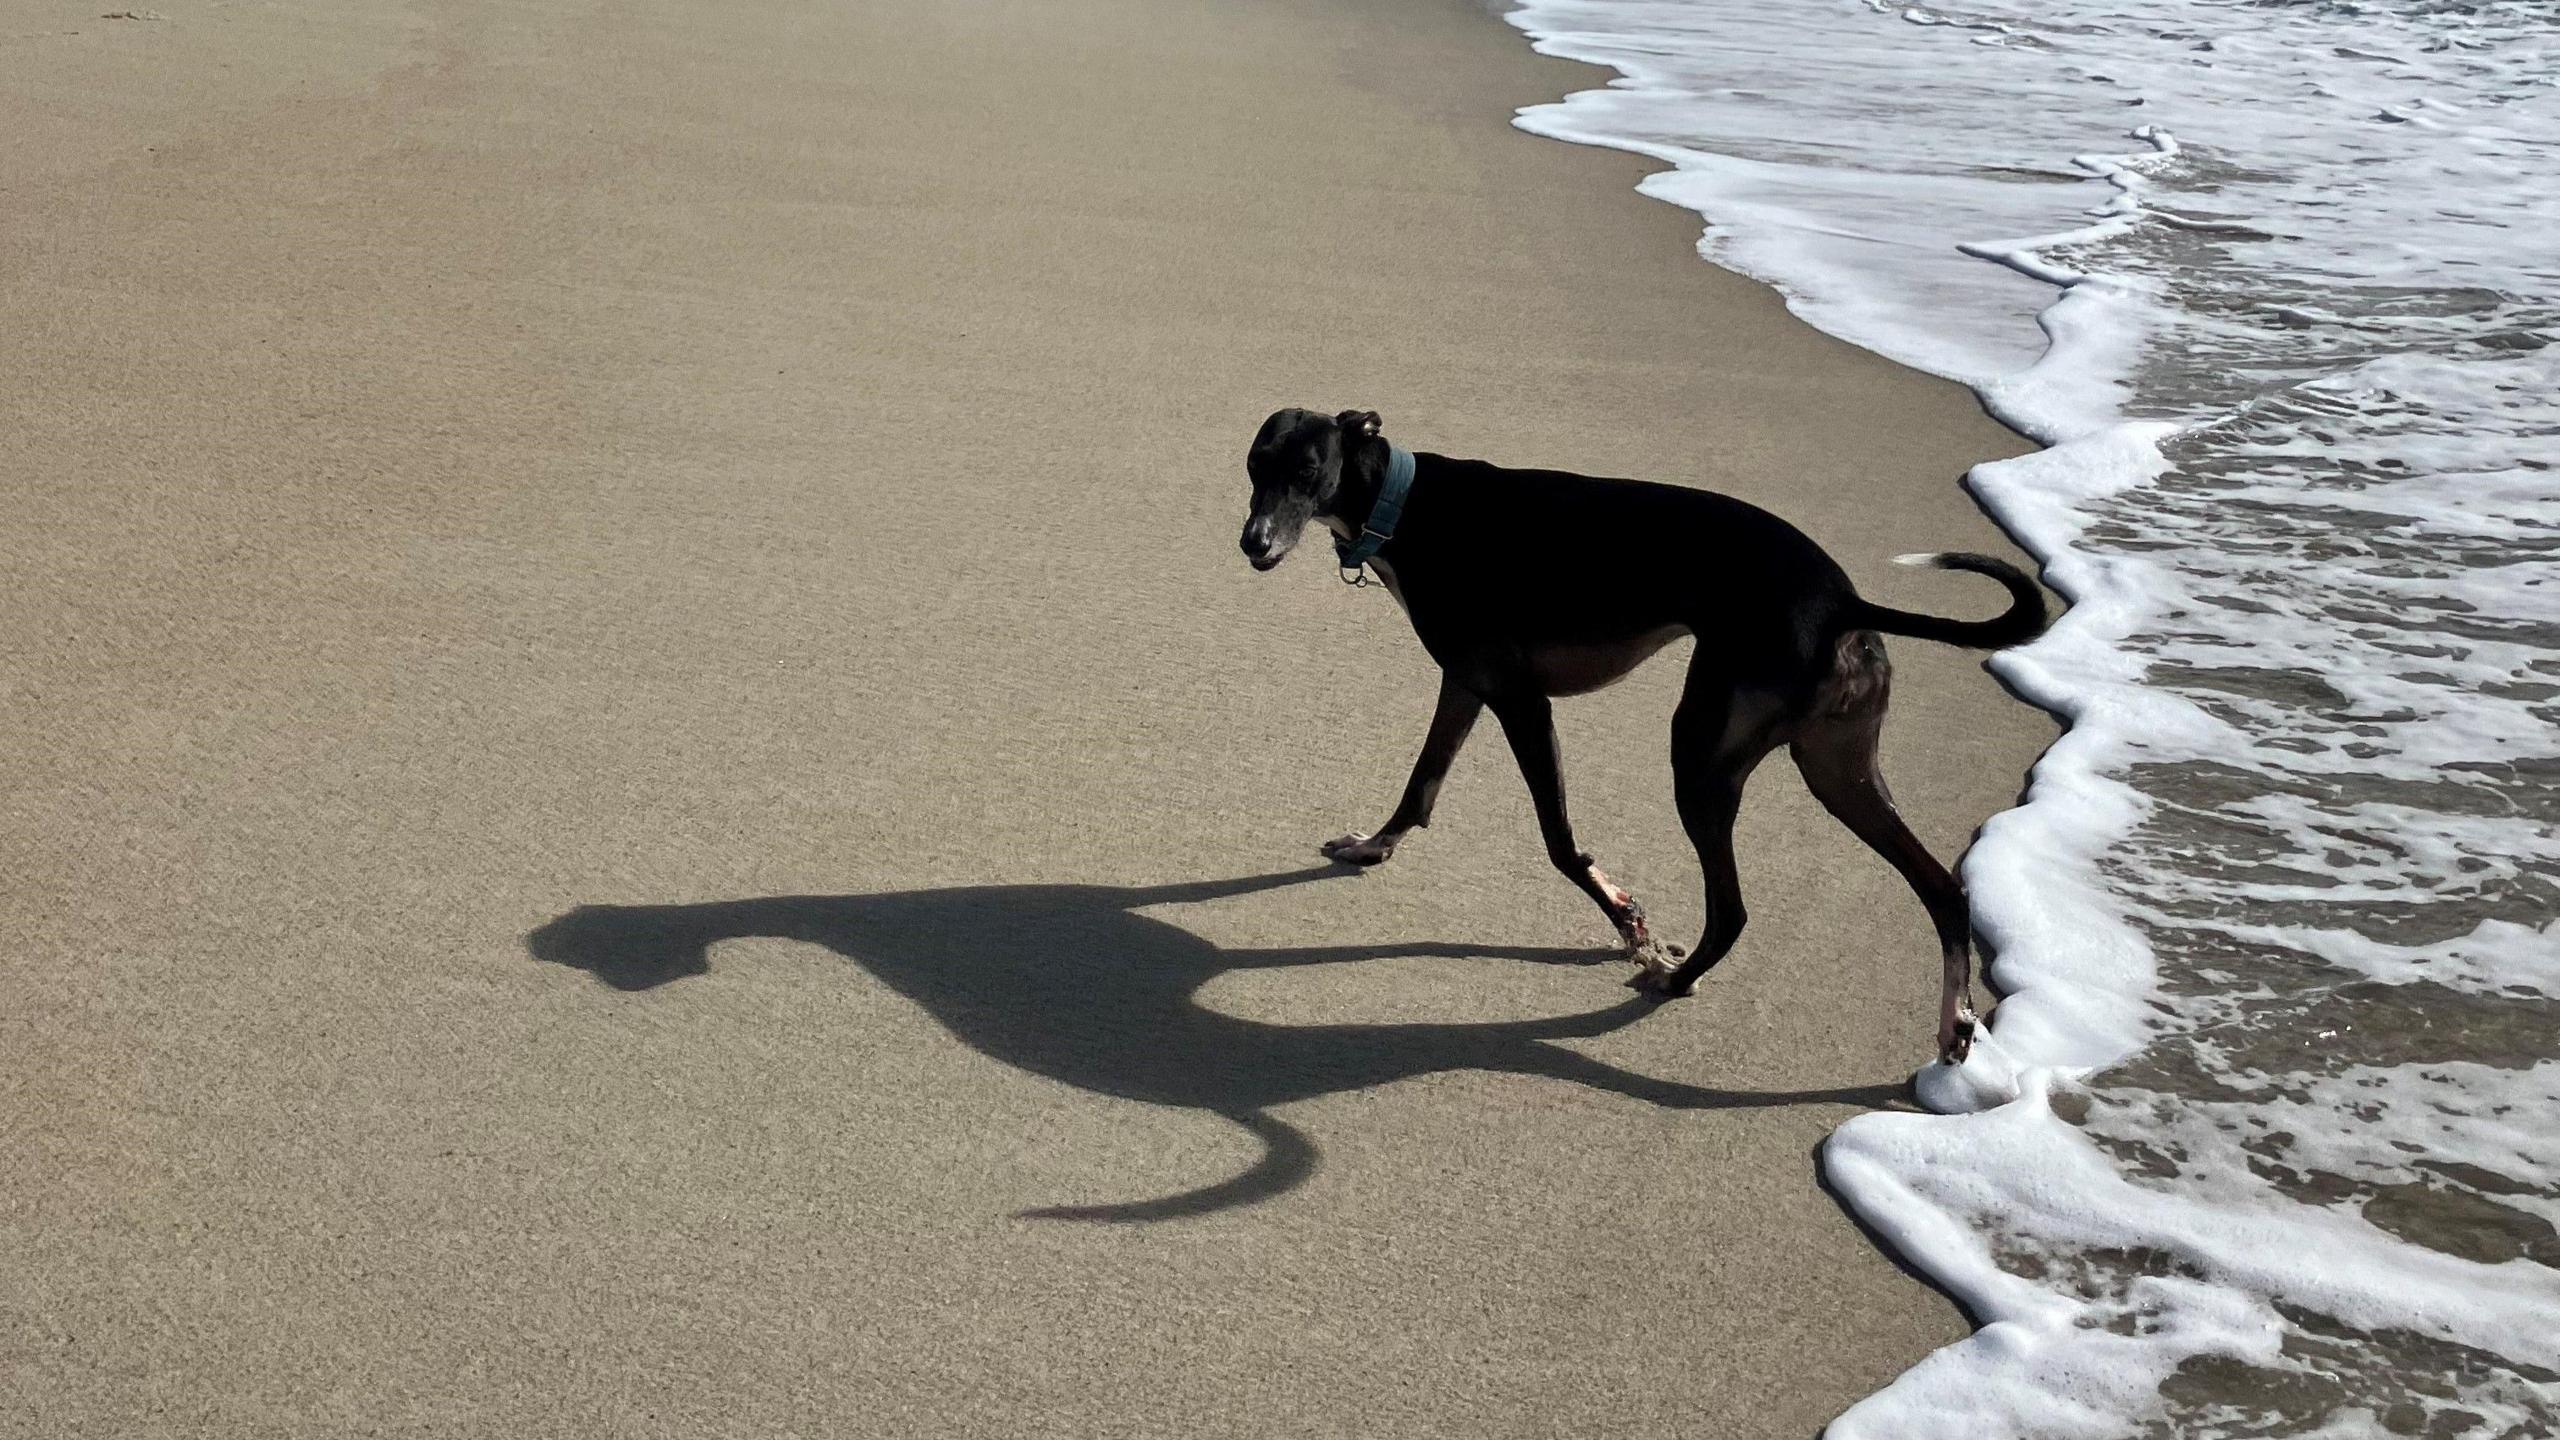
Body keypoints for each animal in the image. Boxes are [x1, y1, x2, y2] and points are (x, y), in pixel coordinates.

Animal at [1239, 409, 2037, 1060]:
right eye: (1253, 466)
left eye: (1306, 472)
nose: (1254, 544)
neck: (1406, 504)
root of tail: (1842, 601)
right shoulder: (1466, 686)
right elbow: (1422, 785)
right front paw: (1374, 845)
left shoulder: (1523, 703)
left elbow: (1561, 844)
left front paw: (1629, 923)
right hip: (1837, 769)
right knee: (1943, 890)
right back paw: (1956, 1021)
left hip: (1702, 758)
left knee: (1733, 908)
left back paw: (1673, 976)